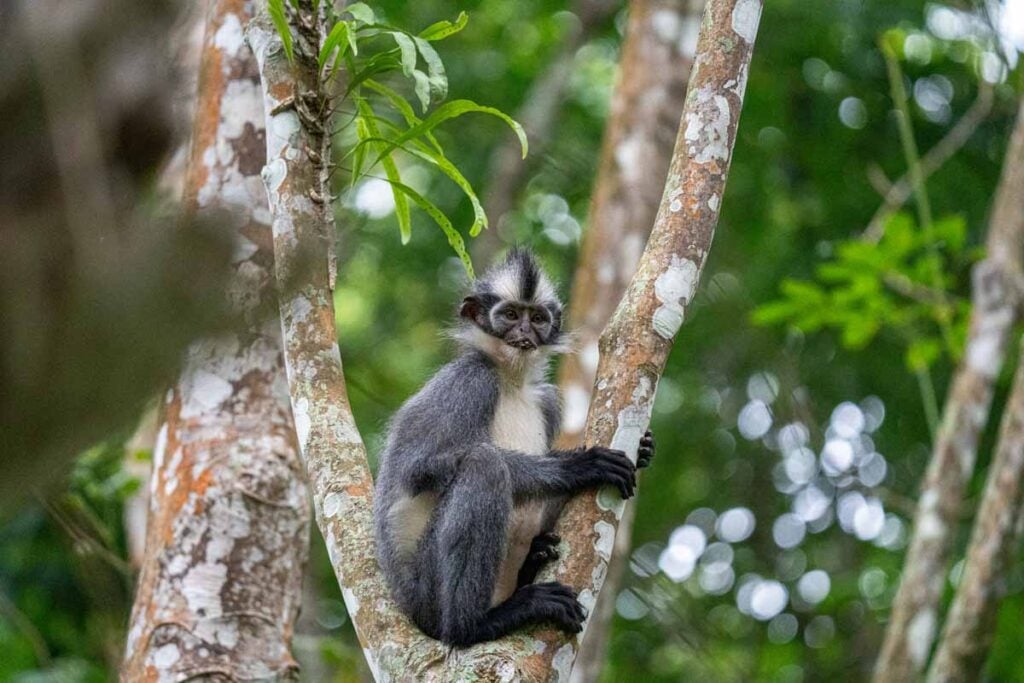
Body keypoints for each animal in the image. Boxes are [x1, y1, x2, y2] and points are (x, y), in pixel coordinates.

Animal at [374, 247, 656, 647]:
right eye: (509, 315)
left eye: (536, 318)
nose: (524, 333)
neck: (511, 381)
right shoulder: (469, 379)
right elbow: (418, 466)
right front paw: (577, 465)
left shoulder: (547, 400)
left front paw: (644, 450)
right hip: (427, 594)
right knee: (485, 465)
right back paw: (476, 624)